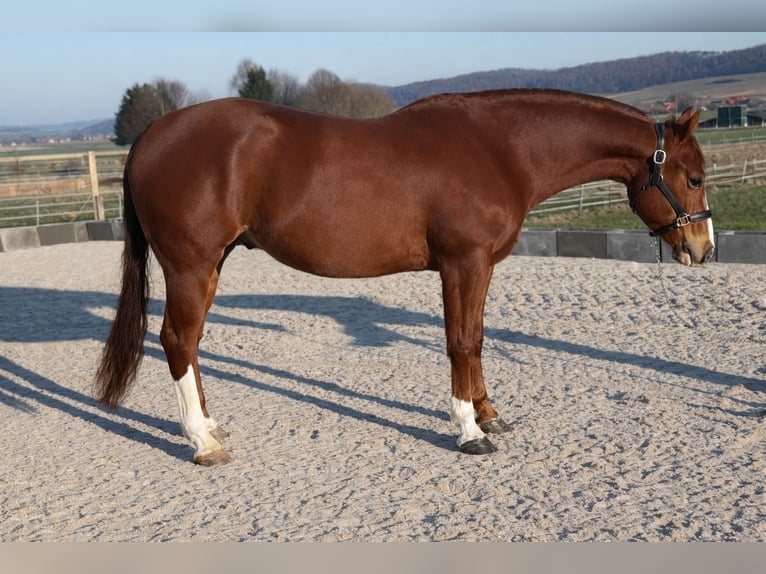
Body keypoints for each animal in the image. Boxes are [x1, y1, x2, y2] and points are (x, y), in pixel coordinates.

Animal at [94, 88, 714, 466]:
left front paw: (490, 417)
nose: (703, 250)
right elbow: (460, 342)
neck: (501, 149)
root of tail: (152, 135)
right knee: (178, 339)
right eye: (693, 178)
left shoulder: (481, 266)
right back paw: (202, 443)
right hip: (190, 264)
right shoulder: (463, 263)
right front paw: (468, 431)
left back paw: (210, 425)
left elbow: (477, 338)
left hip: (213, 262)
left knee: (192, 341)